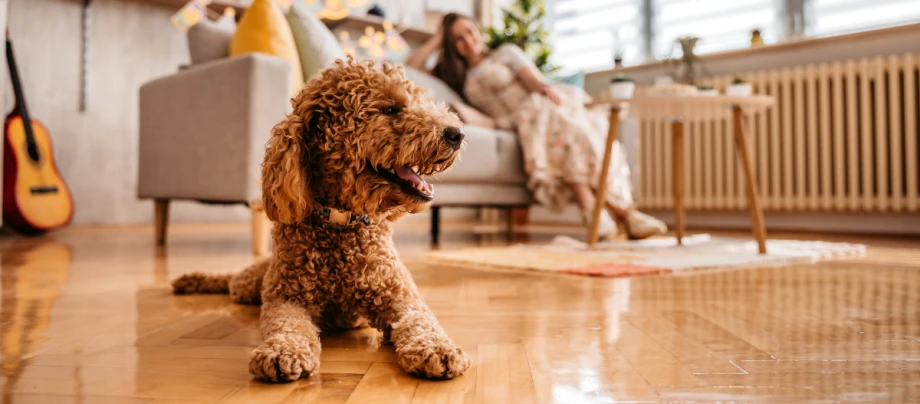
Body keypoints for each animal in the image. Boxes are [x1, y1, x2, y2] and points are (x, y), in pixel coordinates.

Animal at [172, 56, 470, 382]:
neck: (341, 224)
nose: (456, 133)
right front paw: (283, 352)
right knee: (230, 281)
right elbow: (288, 326)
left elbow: (422, 321)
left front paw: (437, 348)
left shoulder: (400, 297)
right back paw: (192, 280)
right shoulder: (286, 297)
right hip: (254, 285)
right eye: (390, 109)